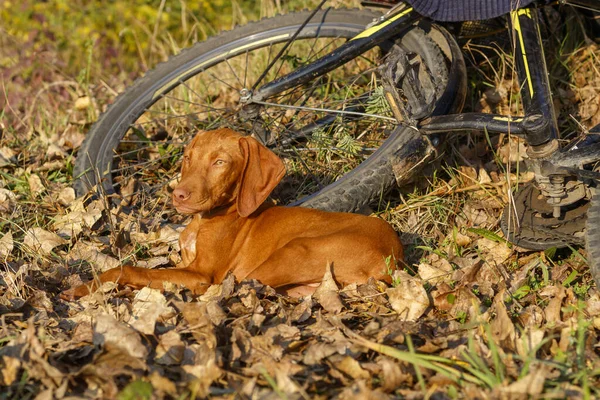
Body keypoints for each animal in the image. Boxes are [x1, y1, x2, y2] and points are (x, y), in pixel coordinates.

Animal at [62, 128, 404, 300]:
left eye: (220, 163)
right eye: (189, 157)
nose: (178, 195)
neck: (208, 218)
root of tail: (393, 257)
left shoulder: (202, 274)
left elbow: (130, 269)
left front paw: (83, 288)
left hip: (289, 252)